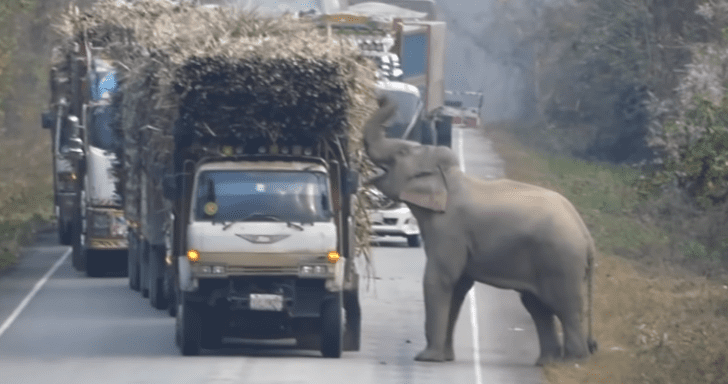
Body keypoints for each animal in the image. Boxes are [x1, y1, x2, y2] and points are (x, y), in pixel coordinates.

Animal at [362, 97, 596, 366]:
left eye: (401, 153)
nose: (382, 98)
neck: (449, 177)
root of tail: (587, 236)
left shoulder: (449, 229)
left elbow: (440, 279)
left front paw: (426, 358)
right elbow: (459, 285)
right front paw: (445, 358)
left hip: (562, 260)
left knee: (566, 308)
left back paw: (573, 361)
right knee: (537, 306)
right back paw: (547, 362)